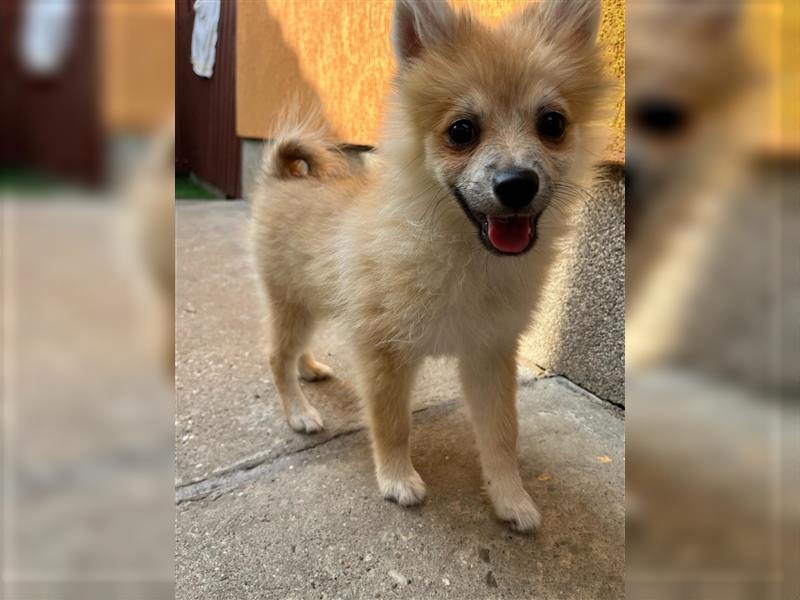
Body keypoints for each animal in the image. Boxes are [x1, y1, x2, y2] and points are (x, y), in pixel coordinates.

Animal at [252, 0, 612, 532]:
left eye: (552, 124)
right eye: (461, 131)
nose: (516, 183)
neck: (460, 251)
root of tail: (282, 177)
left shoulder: (489, 353)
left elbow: (502, 434)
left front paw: (510, 497)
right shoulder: (384, 352)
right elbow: (393, 423)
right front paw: (397, 479)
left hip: (315, 304)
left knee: (294, 350)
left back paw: (311, 368)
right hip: (290, 303)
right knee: (277, 356)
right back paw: (299, 411)